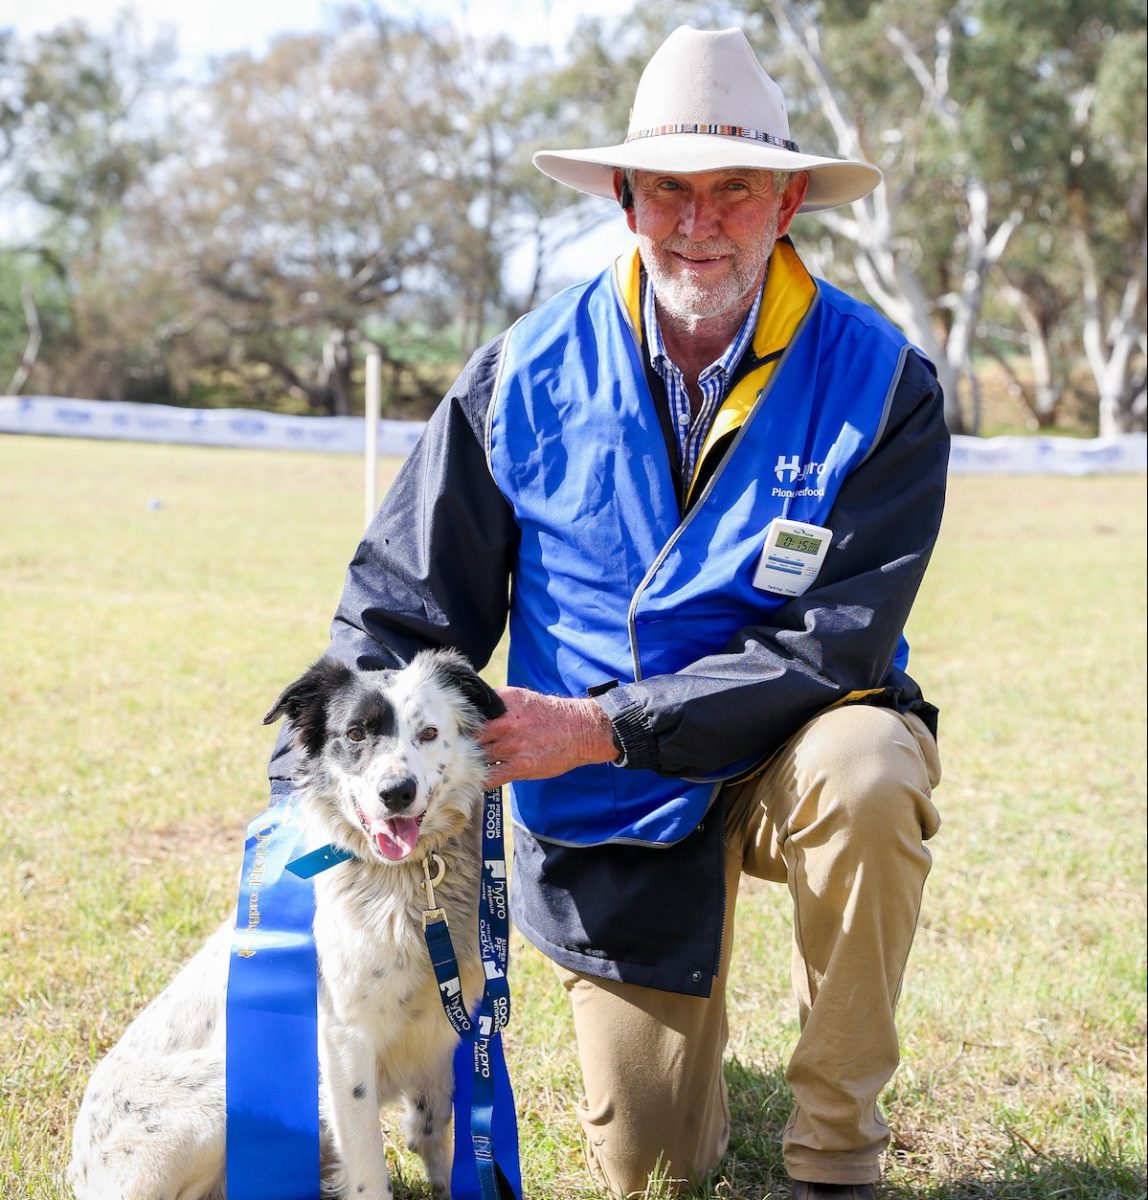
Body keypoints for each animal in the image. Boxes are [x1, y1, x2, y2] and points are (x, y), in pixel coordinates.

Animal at [71, 652, 501, 1200]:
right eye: (355, 734)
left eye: (428, 733)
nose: (396, 793)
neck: (407, 886)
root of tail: (80, 1170)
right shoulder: (345, 1041)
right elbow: (367, 1169)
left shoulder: (441, 1032)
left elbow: (435, 1135)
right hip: (221, 1094)